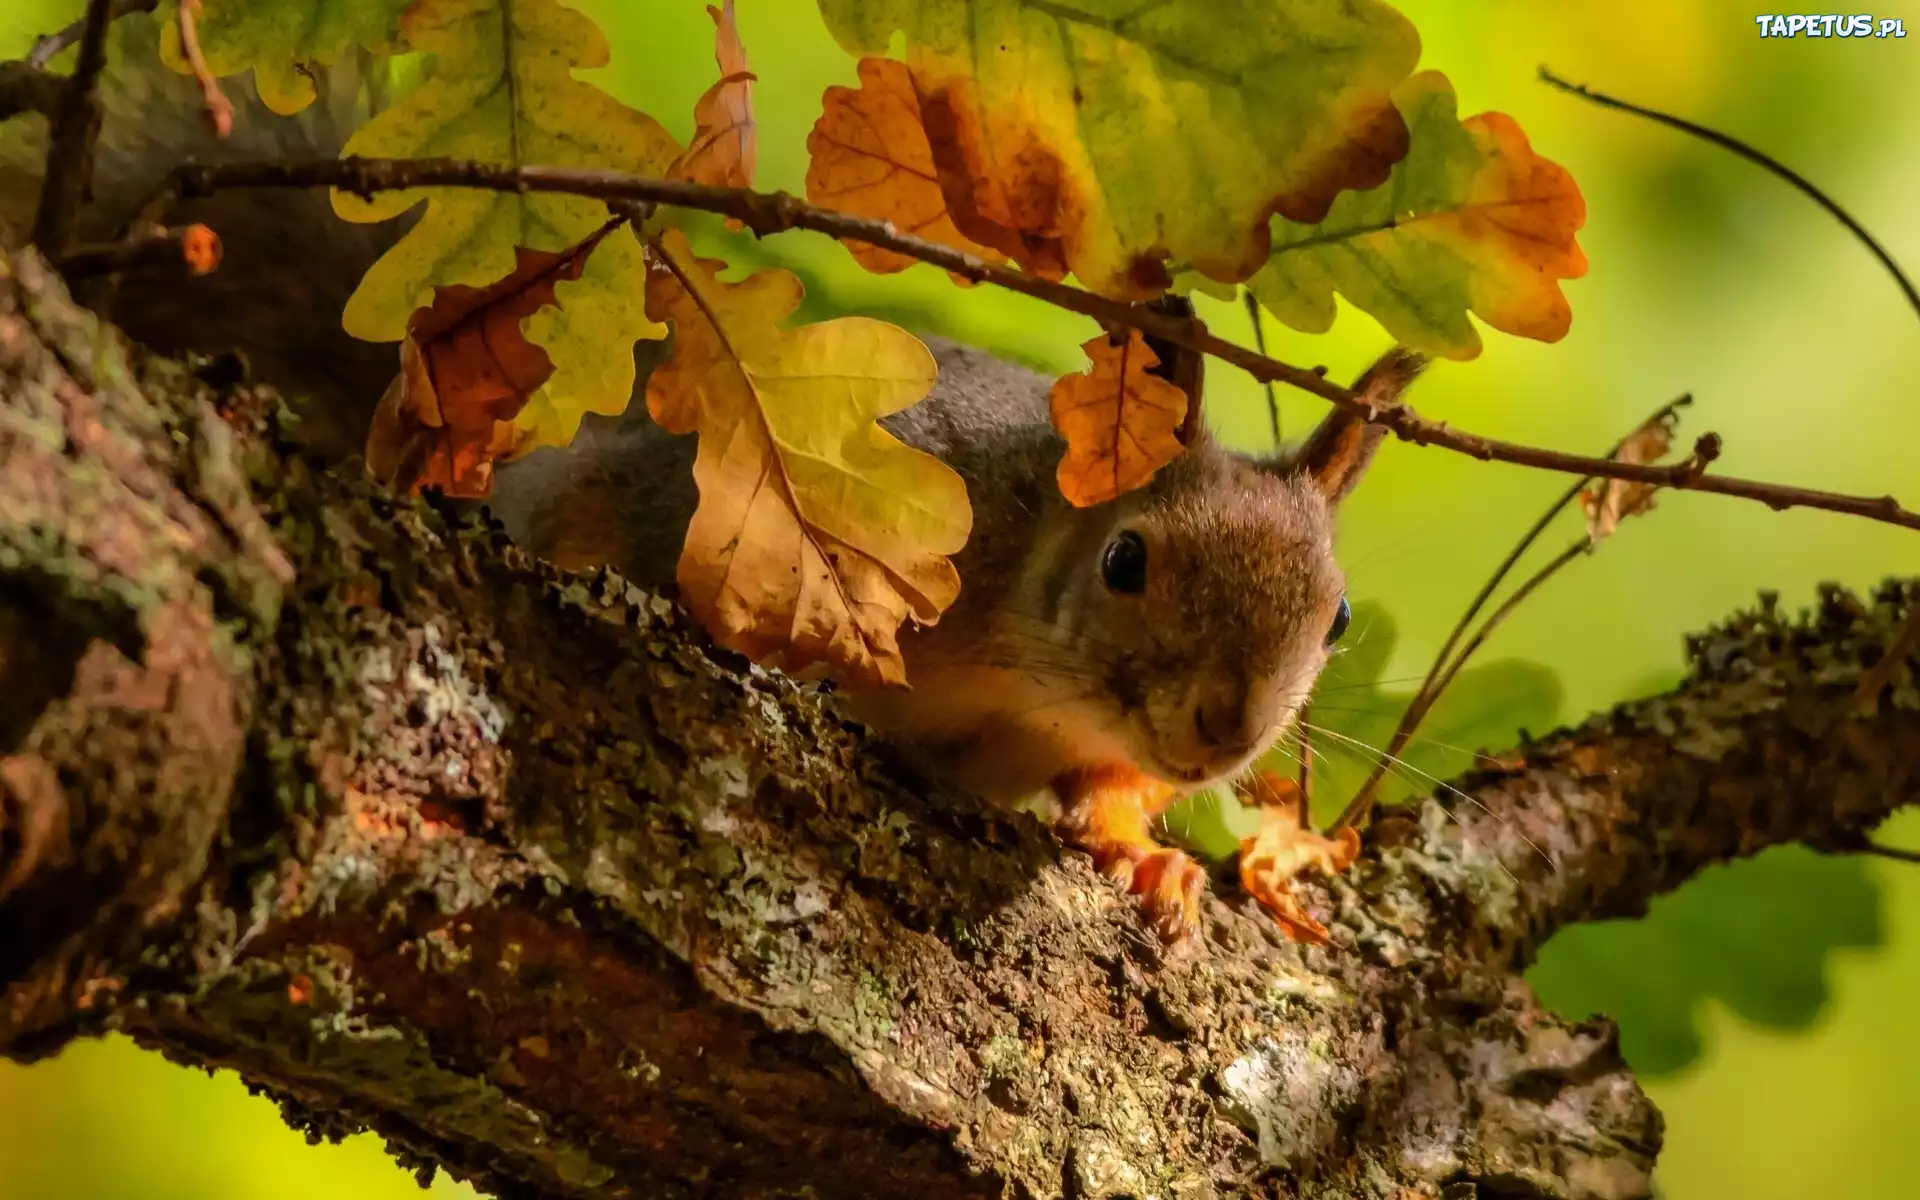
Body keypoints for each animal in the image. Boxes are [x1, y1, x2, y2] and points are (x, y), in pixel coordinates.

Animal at [3, 14, 1428, 940]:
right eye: (1129, 559)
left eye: (1337, 616)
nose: (1226, 730)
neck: (1028, 669)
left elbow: (1111, 798)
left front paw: (1151, 858)